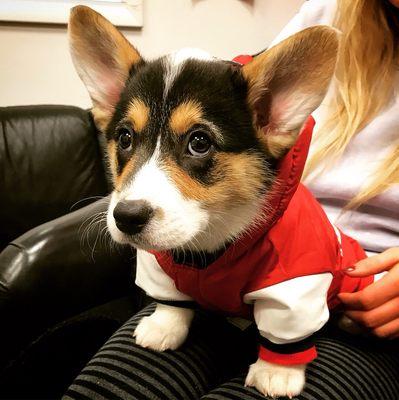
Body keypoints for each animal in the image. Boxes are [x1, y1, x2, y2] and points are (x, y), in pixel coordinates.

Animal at [67, 6, 360, 396]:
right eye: (125, 138)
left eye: (200, 142)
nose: (126, 217)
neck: (210, 242)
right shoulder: (159, 266)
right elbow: (172, 301)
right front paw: (165, 325)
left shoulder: (295, 285)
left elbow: (284, 334)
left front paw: (277, 373)